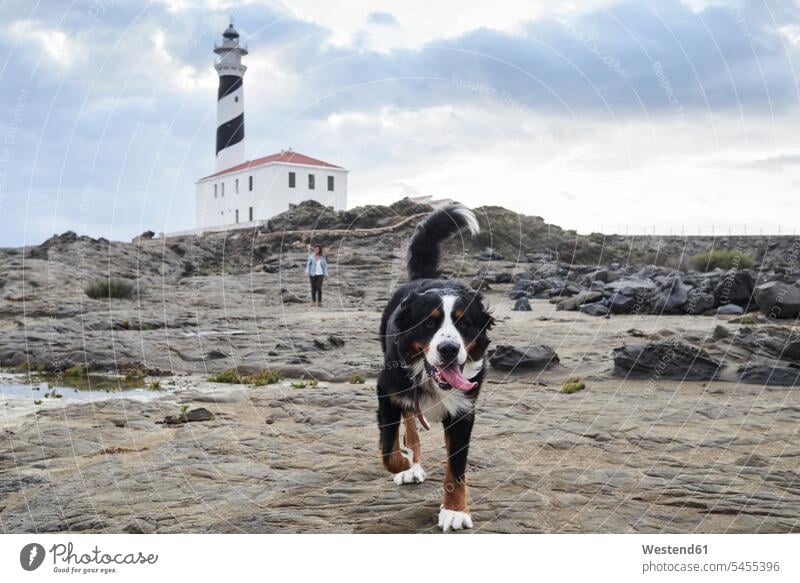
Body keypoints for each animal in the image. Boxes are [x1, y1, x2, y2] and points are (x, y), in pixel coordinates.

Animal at [376, 205, 494, 532]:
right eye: (429, 323)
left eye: (464, 323)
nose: (449, 349)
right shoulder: (386, 392)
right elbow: (389, 449)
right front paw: (404, 464)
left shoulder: (463, 412)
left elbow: (456, 467)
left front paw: (454, 509)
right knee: (410, 425)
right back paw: (412, 464)